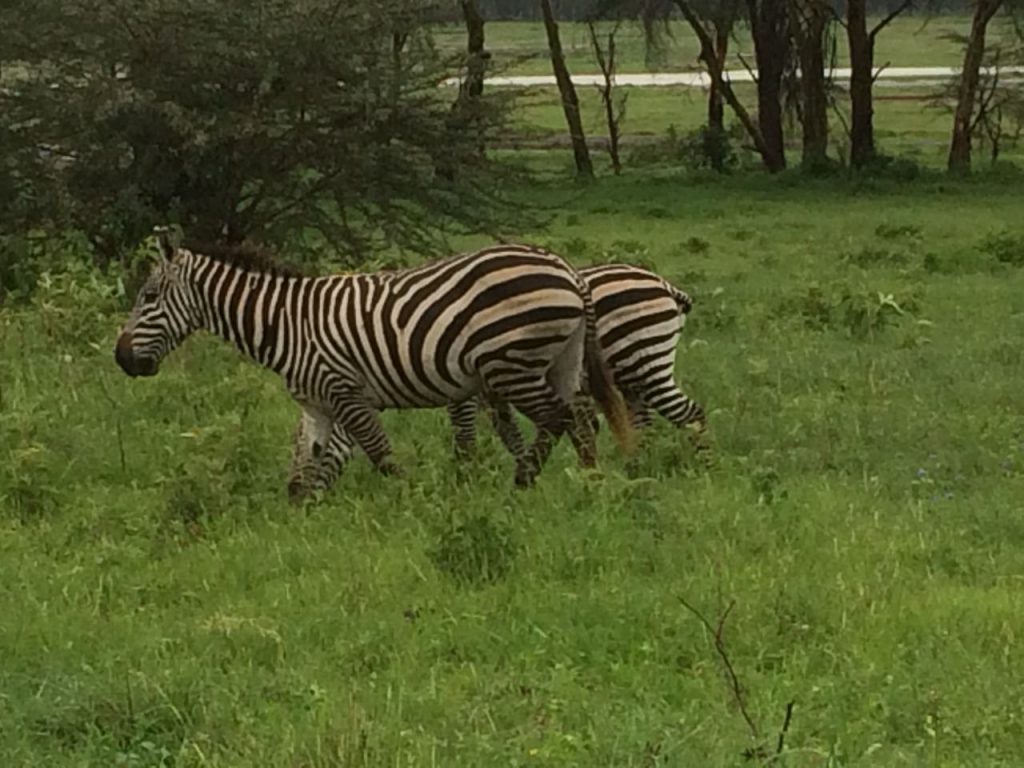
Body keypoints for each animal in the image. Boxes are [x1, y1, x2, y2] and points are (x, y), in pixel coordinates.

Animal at [117, 228, 630, 493]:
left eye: (148, 296)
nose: (122, 359)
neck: (285, 323)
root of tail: (565, 268)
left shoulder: (346, 391)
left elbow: (381, 456)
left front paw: (409, 499)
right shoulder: (316, 405)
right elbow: (304, 471)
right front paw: (300, 522)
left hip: (512, 364)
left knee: (558, 418)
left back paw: (525, 480)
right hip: (561, 360)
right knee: (582, 418)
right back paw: (591, 481)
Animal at [294, 264, 712, 493]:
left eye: (305, 449)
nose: (294, 495)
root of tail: (664, 285)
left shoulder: (464, 387)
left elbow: (466, 434)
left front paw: (468, 479)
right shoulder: (491, 388)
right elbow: (510, 432)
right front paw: (523, 469)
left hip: (644, 361)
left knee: (687, 414)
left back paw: (699, 468)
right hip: (633, 377)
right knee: (643, 424)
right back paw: (640, 468)